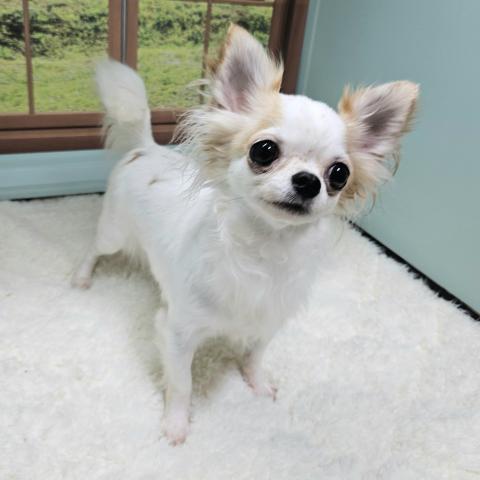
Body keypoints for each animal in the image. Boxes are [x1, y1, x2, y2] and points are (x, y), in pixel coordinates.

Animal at [72, 25, 418, 445]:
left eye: (339, 174)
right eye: (264, 151)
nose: (308, 181)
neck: (266, 247)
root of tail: (145, 147)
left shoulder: (267, 321)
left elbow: (255, 356)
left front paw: (258, 384)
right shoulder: (177, 332)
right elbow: (182, 384)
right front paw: (176, 424)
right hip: (114, 233)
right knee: (93, 248)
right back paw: (82, 277)